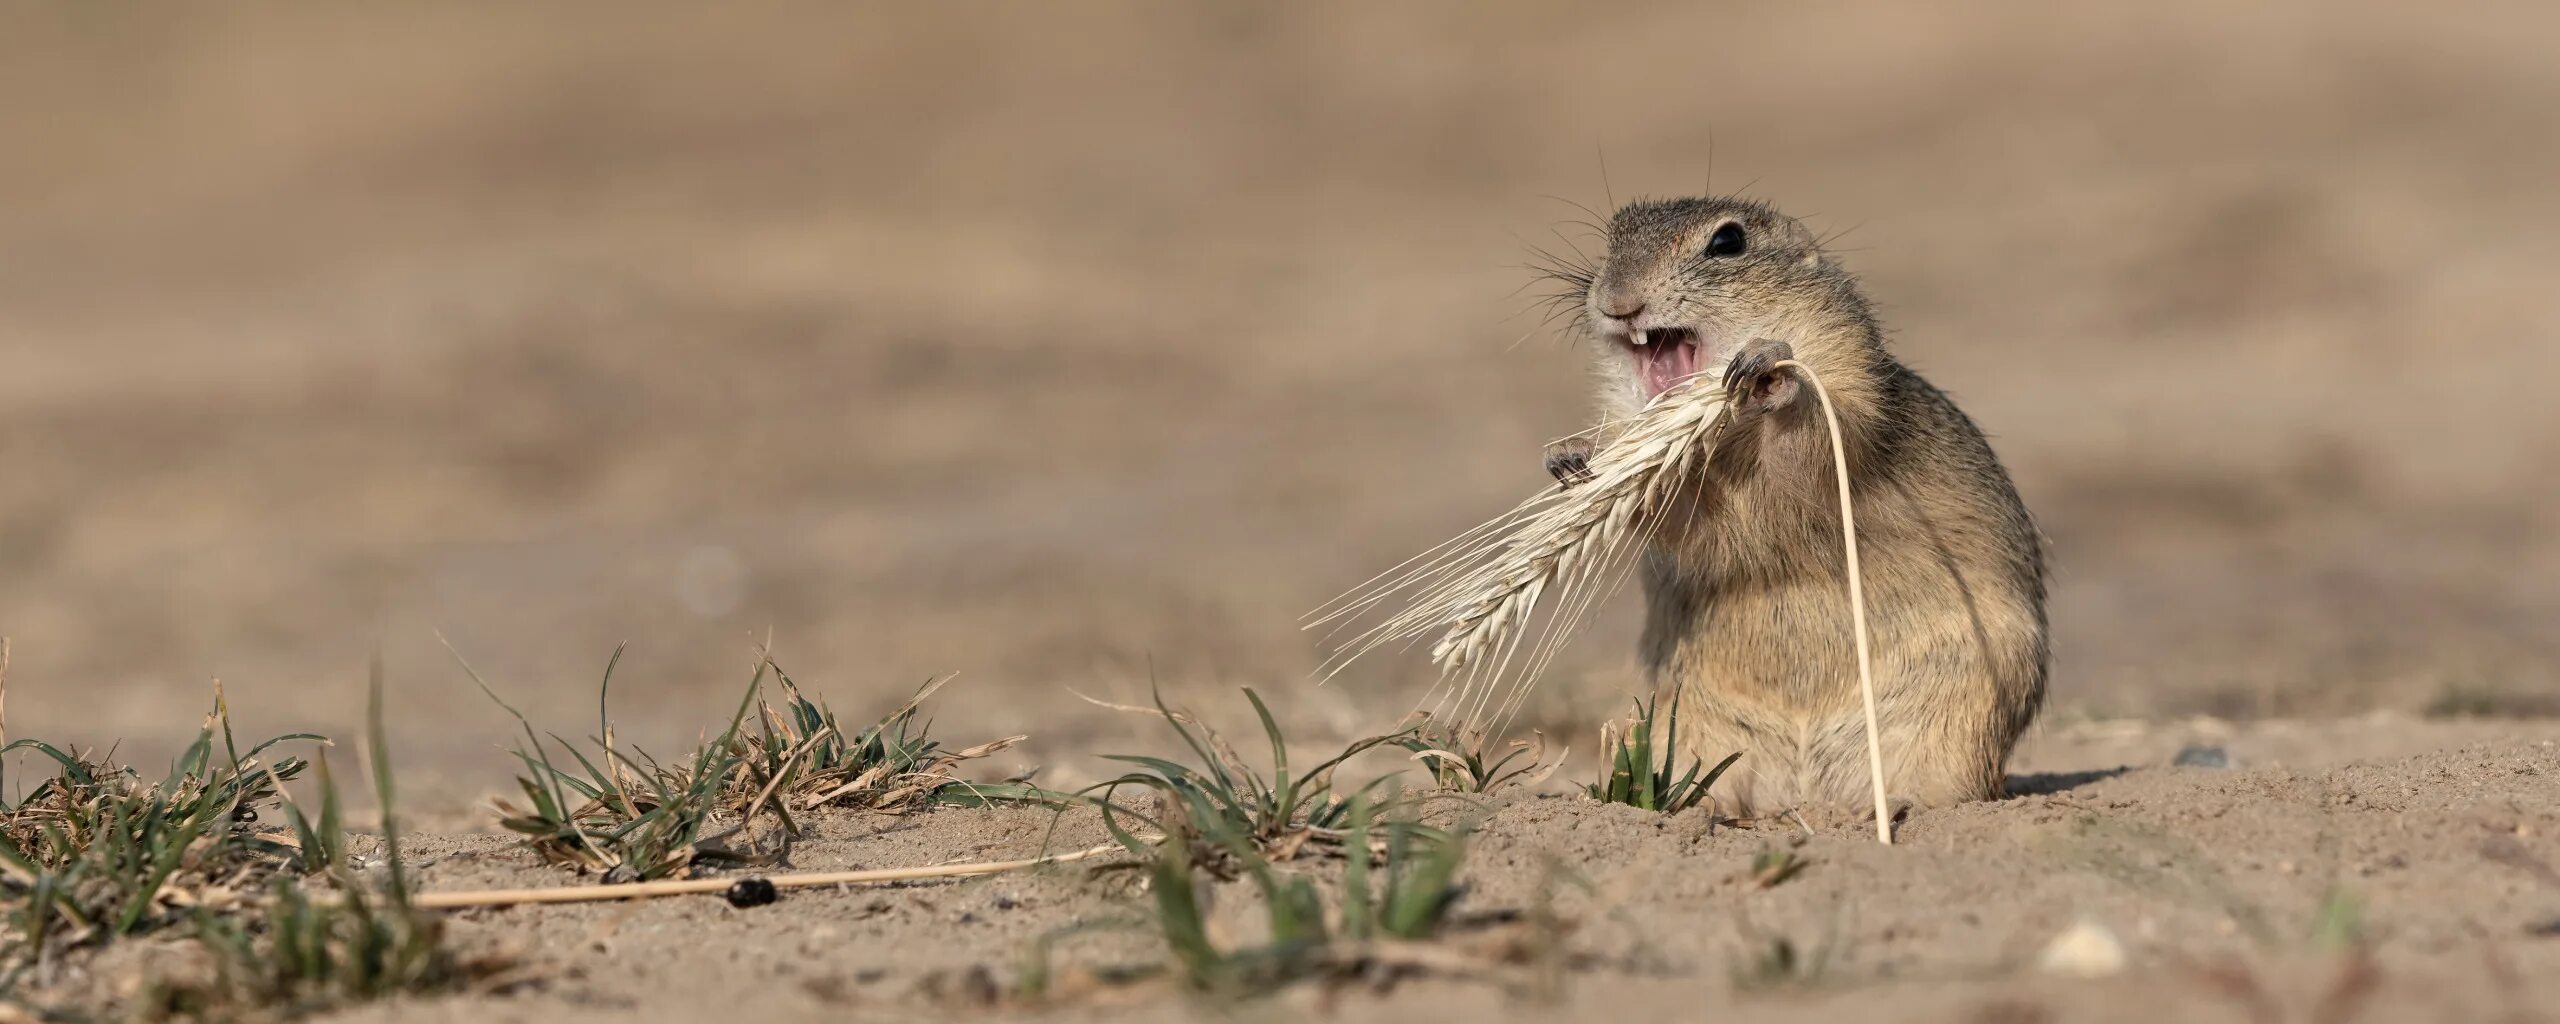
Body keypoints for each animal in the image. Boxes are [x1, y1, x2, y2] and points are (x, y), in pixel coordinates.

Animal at [1546, 194, 2048, 814]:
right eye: (1611, 238)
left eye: (1727, 242)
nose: (1617, 302)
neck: (1729, 439)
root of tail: (1806, 797)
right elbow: (1672, 508)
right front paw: (1573, 458)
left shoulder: (1849, 403)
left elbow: (1812, 451)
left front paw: (1769, 369)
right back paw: (1699, 809)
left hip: (1958, 728)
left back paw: (1896, 806)